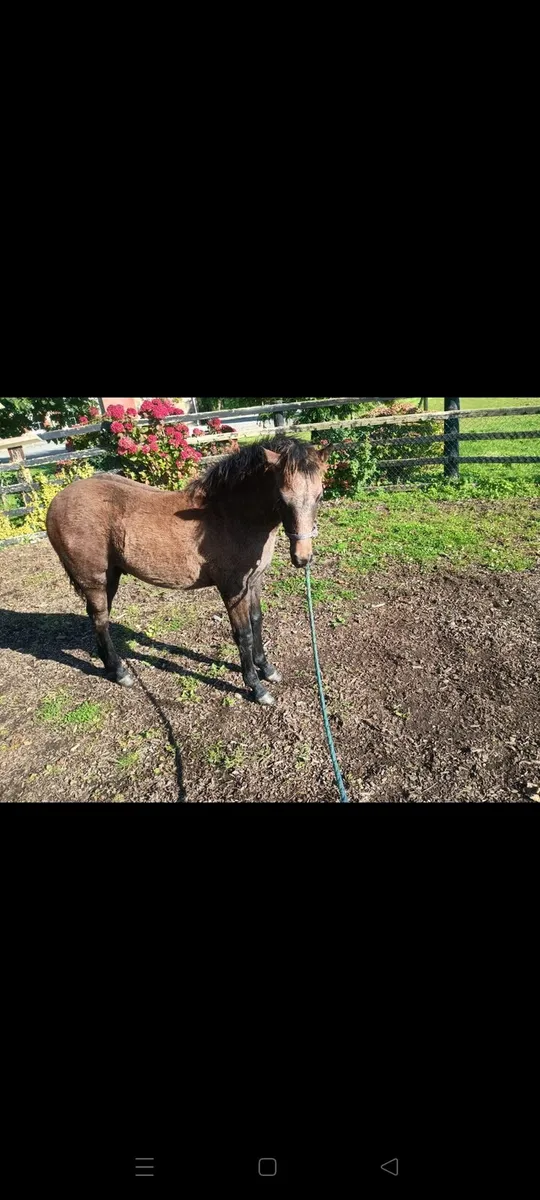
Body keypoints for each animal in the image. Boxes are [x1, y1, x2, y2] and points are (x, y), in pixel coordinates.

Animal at [45, 435, 330, 705]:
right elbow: (244, 634)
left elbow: (257, 621)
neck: (232, 514)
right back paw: (120, 672)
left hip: (110, 577)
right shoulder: (232, 589)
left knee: (98, 618)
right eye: (282, 498)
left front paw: (267, 669)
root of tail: (56, 502)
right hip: (94, 581)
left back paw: (108, 664)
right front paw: (257, 688)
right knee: (100, 619)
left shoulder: (253, 582)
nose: (302, 558)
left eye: (319, 496)